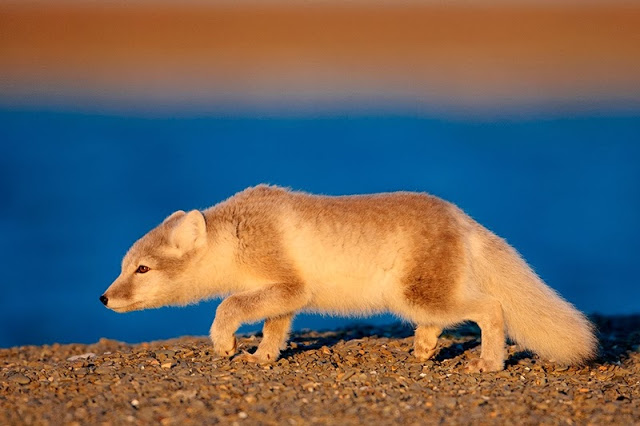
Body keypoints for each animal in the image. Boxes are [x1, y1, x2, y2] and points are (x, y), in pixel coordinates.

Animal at [100, 185, 596, 372]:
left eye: (142, 269)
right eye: (124, 265)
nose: (103, 299)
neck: (237, 235)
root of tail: (462, 218)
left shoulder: (288, 285)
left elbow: (228, 305)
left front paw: (224, 343)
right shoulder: (285, 296)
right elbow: (275, 327)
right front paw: (263, 356)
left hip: (418, 295)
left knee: (491, 309)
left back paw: (489, 363)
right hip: (418, 297)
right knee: (438, 323)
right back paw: (423, 350)